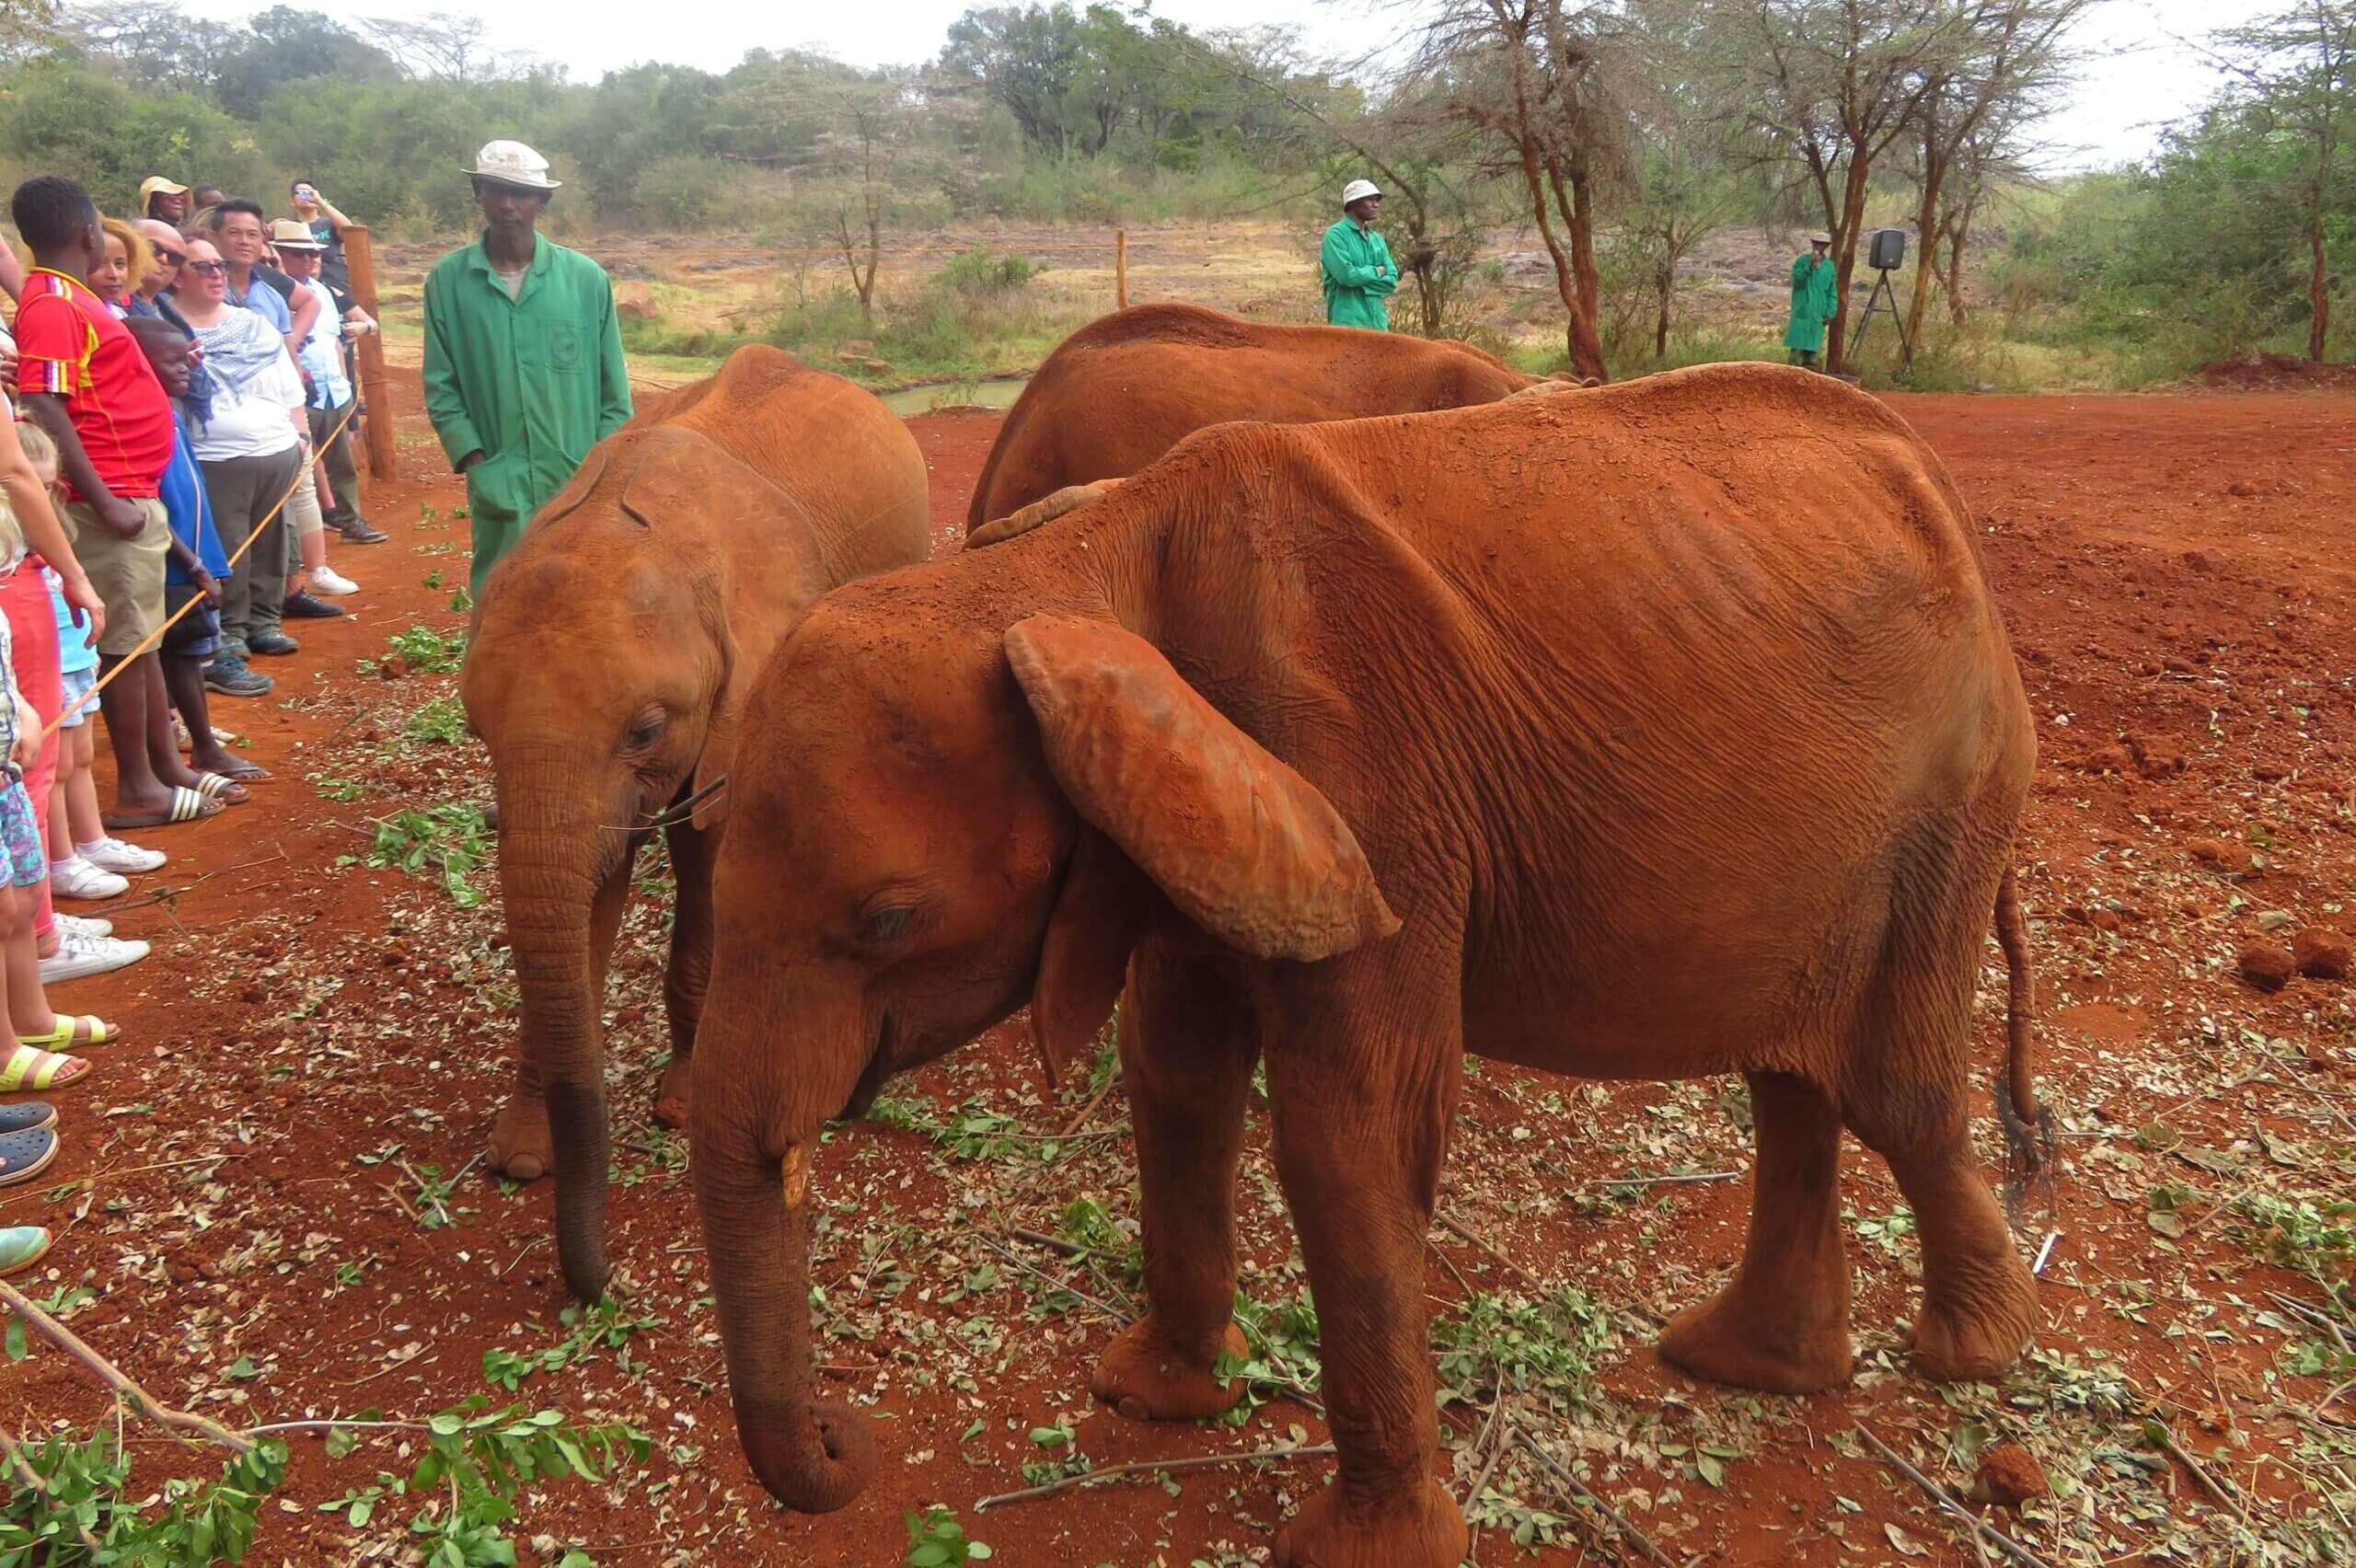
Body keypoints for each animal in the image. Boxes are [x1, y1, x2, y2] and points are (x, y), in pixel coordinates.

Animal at [455, 340, 932, 1290]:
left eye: (646, 728)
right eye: (475, 729)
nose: (596, 1280)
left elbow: (709, 859)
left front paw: (677, 1108)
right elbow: (589, 889)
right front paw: (522, 1155)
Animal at [678, 363, 2045, 1562]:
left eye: (887, 921)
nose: (847, 1444)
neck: (1080, 565)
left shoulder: (1368, 787)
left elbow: (1352, 1131)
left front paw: (1355, 1546)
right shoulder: (1214, 816)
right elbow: (1176, 1076)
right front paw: (1154, 1398)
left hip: (1955, 801)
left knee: (1898, 1090)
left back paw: (1965, 1357)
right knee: (1794, 1086)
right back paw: (1749, 1364)